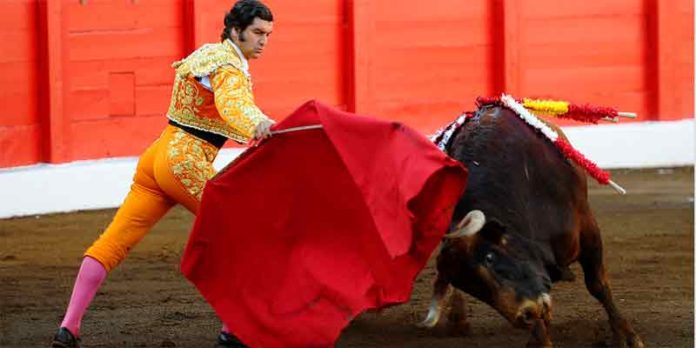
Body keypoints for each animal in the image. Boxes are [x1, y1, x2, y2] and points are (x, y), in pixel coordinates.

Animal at [424, 104, 648, 348]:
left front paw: (627, 337)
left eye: (490, 257)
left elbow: (597, 284)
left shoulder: (587, 227)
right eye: (471, 287)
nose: (526, 314)